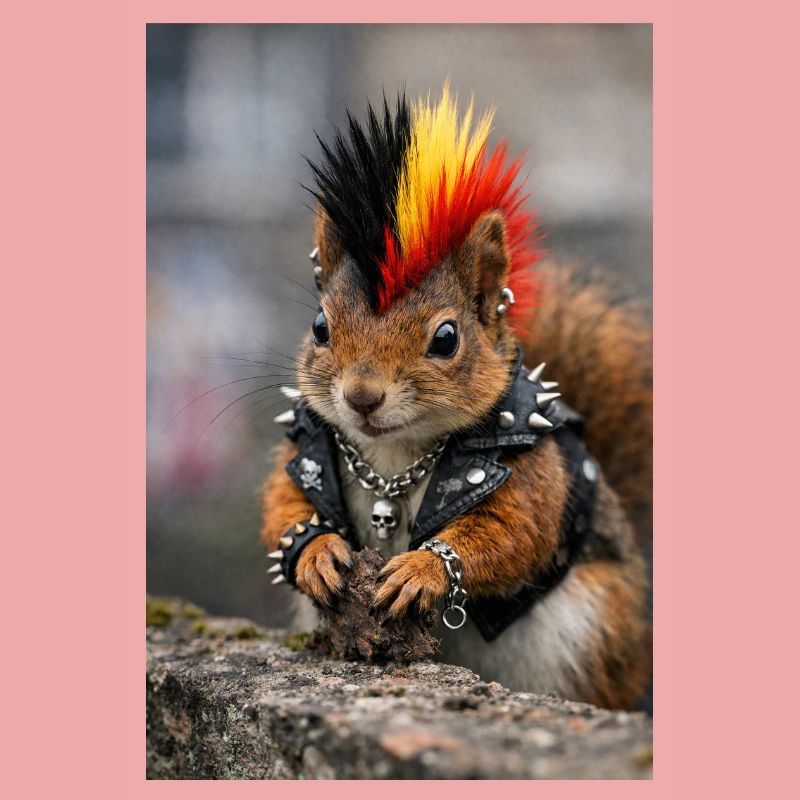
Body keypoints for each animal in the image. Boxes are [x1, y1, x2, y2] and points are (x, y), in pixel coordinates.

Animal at [260, 87, 652, 710]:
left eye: (446, 338)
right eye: (320, 326)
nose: (362, 396)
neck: (395, 457)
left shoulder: (531, 472)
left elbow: (512, 531)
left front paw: (423, 569)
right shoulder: (307, 444)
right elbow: (284, 503)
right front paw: (317, 551)